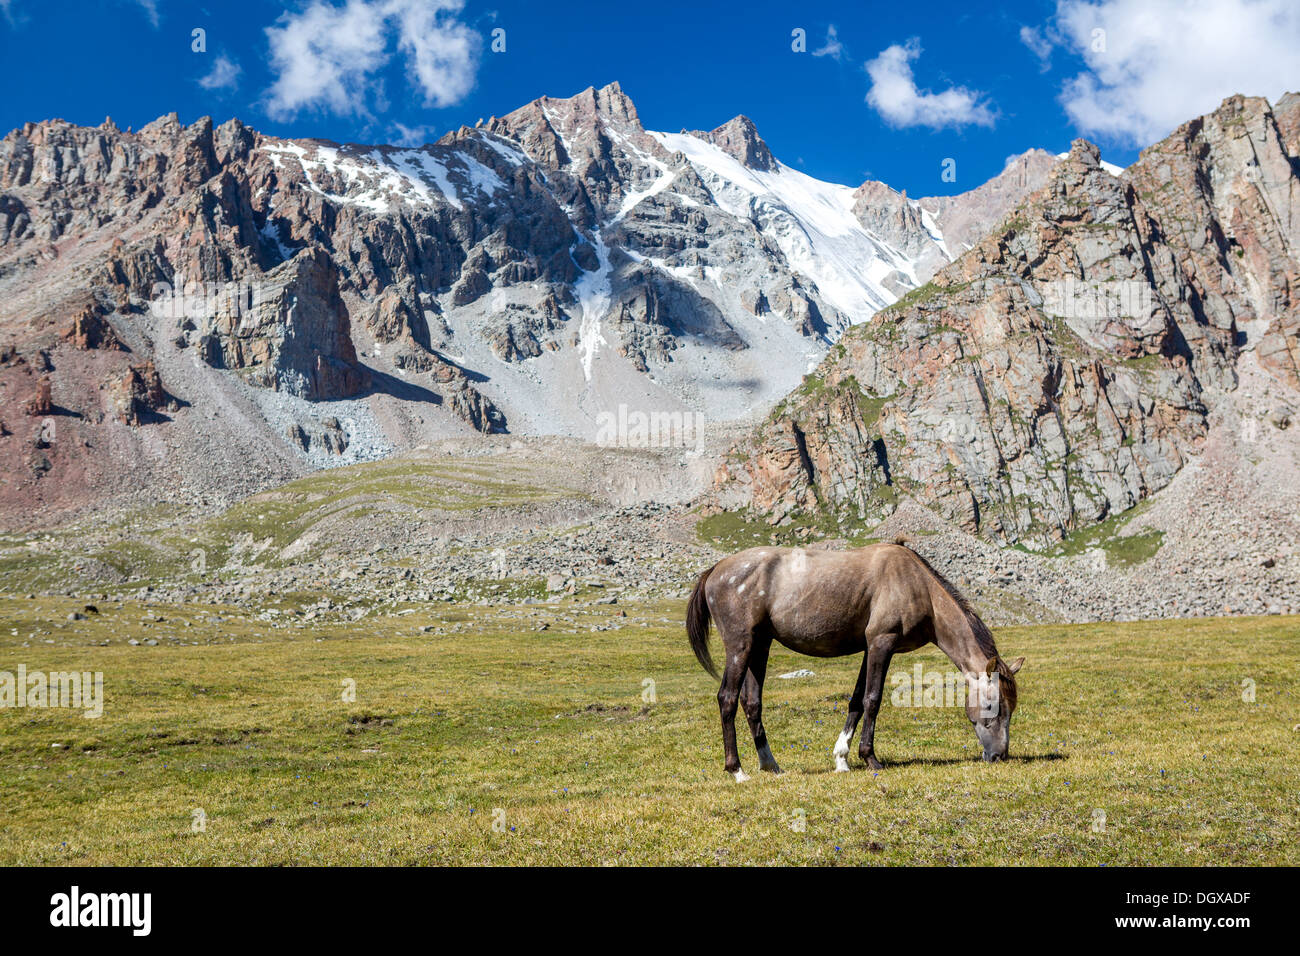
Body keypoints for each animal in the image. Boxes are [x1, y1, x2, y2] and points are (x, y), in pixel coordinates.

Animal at [686, 538, 1019, 780]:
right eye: (993, 705)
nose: (999, 756)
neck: (917, 586)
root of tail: (715, 570)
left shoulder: (869, 648)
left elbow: (857, 702)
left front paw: (841, 758)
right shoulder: (882, 643)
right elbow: (873, 699)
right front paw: (870, 758)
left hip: (760, 645)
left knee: (751, 702)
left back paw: (771, 765)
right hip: (740, 645)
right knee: (727, 698)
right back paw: (736, 769)